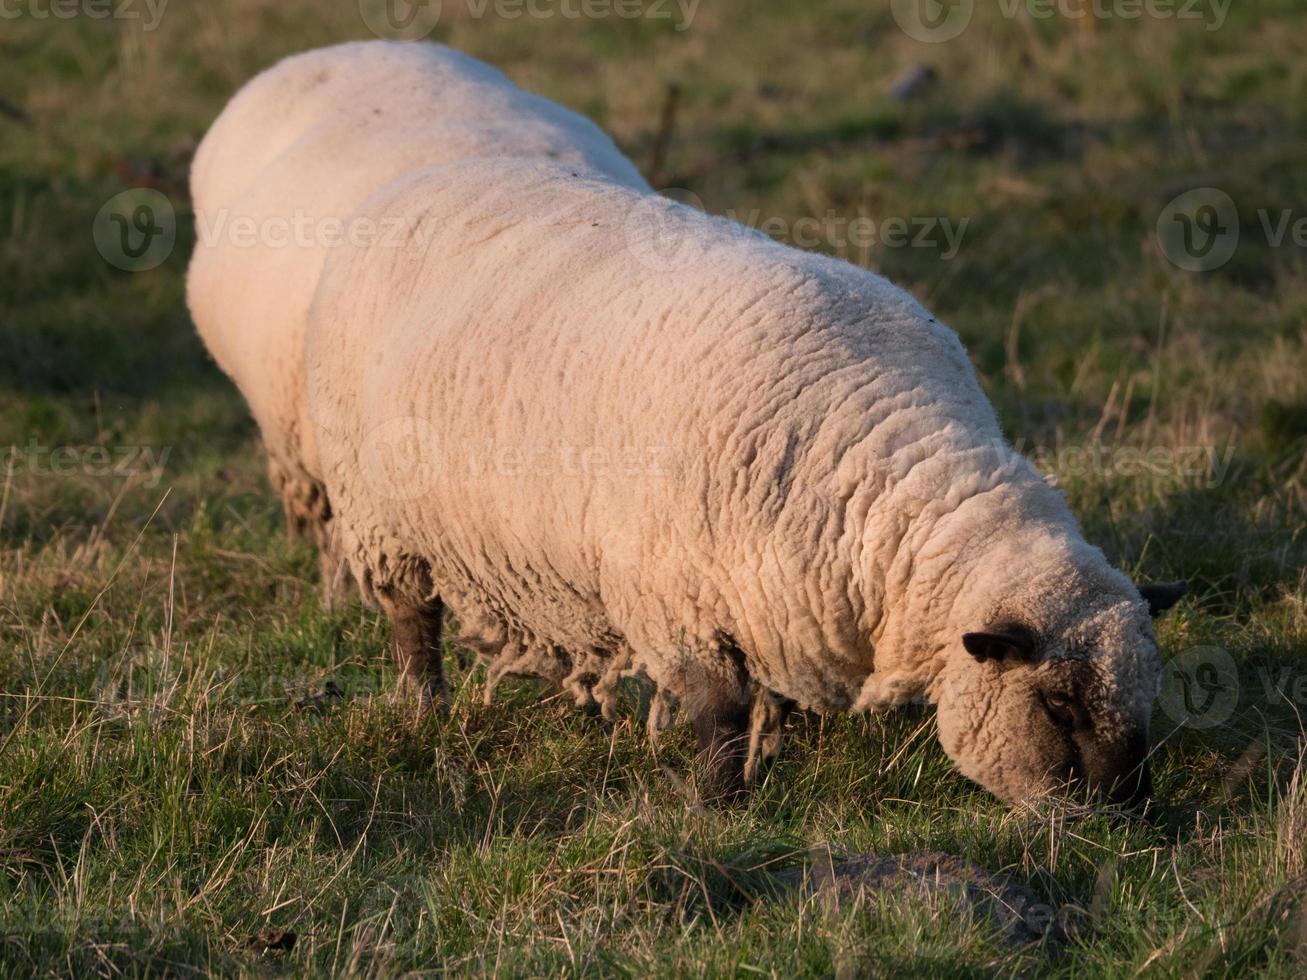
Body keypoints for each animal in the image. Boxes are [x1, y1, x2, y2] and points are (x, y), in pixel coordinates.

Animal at [305, 147, 1186, 804]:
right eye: (1057, 703)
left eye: (1148, 695)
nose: (1120, 818)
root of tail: (422, 178)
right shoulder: (678, 599)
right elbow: (719, 712)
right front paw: (720, 802)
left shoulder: (777, 601)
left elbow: (770, 704)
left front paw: (772, 759)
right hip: (380, 517)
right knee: (412, 621)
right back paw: (424, 707)